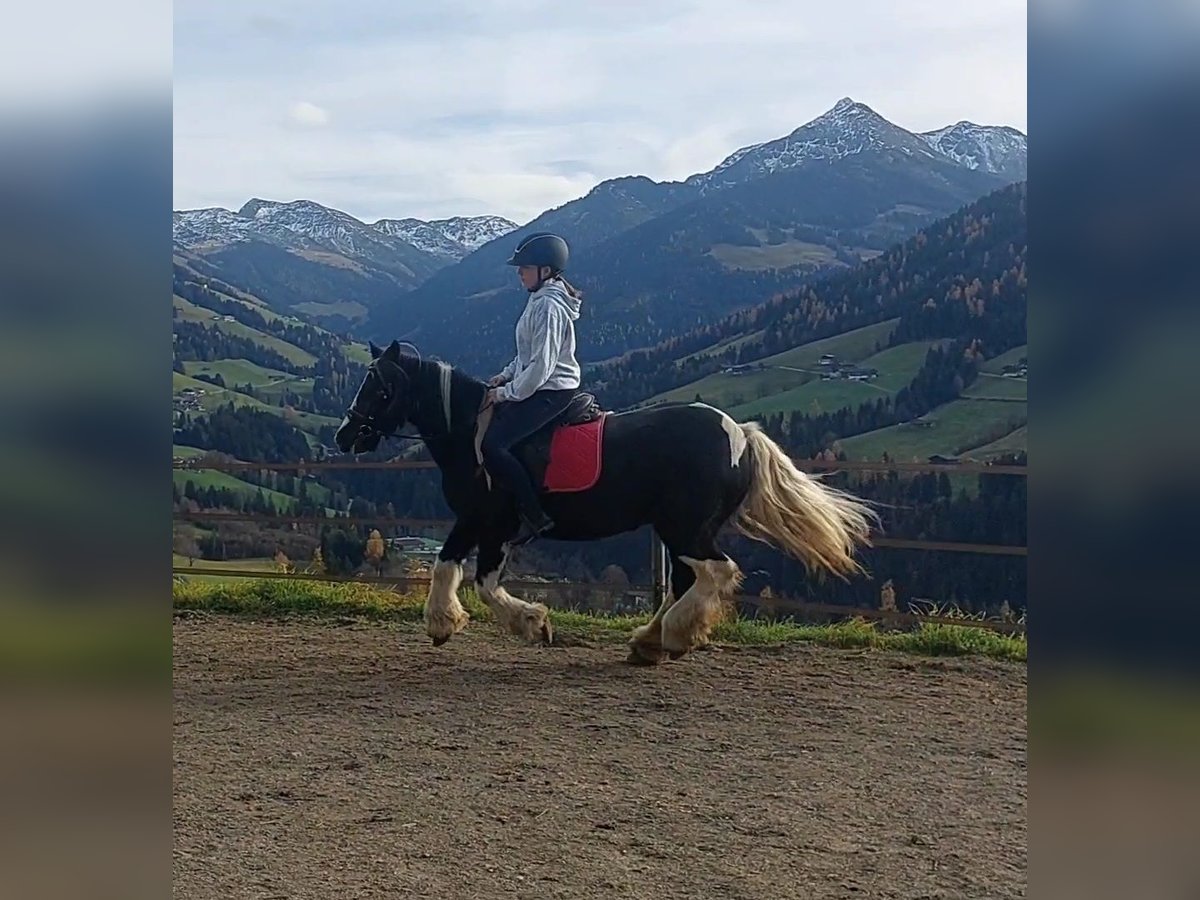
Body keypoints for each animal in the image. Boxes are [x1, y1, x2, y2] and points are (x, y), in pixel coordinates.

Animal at [333, 339, 878, 664]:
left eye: (379, 386)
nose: (344, 436)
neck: (471, 433)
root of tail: (740, 434)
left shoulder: (488, 522)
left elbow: (480, 581)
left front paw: (530, 624)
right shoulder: (476, 523)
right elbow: (448, 566)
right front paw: (446, 624)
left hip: (686, 527)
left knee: (713, 572)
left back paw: (673, 636)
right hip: (678, 528)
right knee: (687, 579)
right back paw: (648, 642)